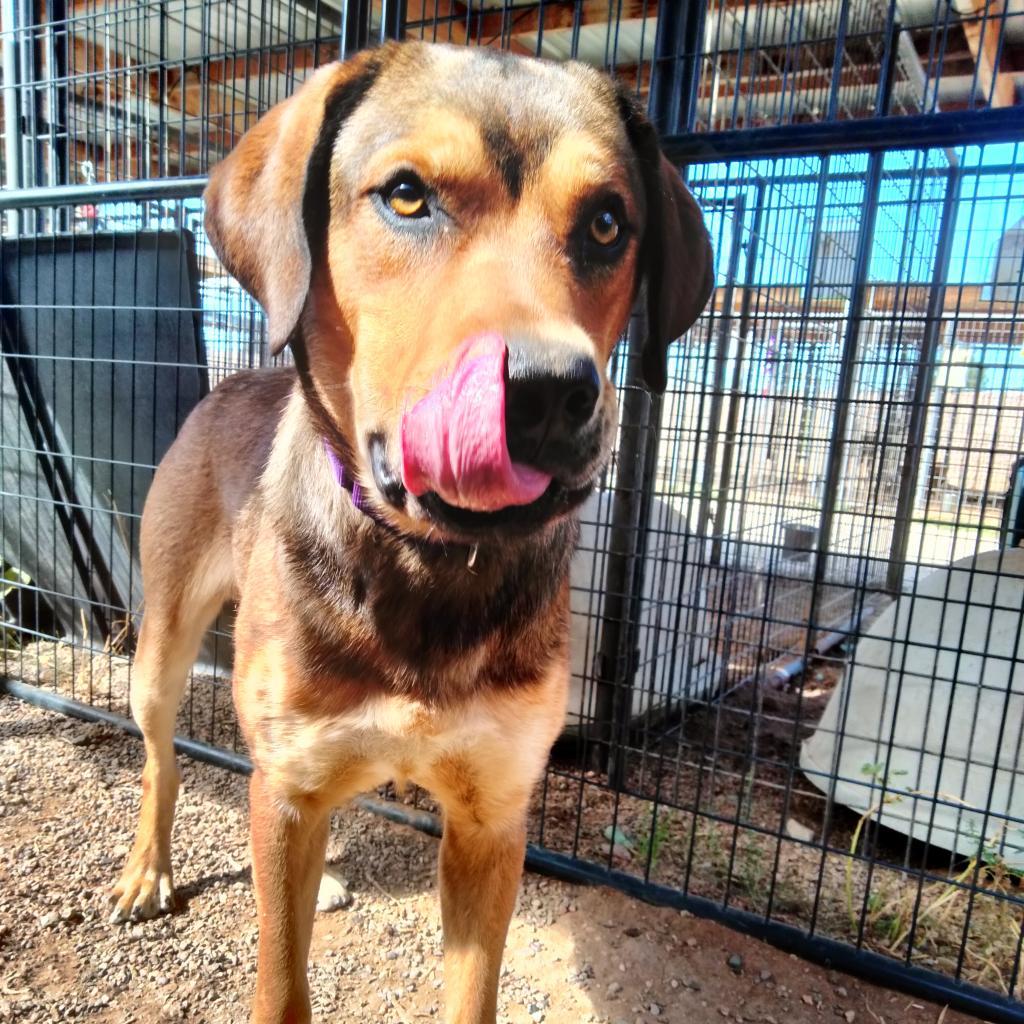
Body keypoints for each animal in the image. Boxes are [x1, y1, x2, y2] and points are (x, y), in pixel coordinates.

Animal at [108, 39, 708, 1024]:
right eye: (406, 195)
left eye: (607, 223)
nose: (550, 394)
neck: (429, 566)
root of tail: (236, 380)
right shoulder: (288, 788)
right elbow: (281, 983)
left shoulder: (492, 817)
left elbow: (473, 992)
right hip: (162, 642)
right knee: (161, 756)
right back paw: (146, 871)